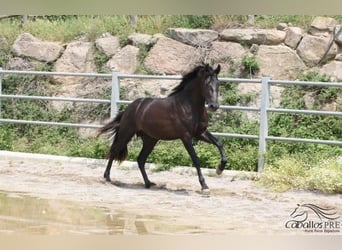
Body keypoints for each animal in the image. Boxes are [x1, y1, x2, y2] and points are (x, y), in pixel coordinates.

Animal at [98, 63, 227, 190]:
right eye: (206, 83)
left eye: (218, 83)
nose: (214, 106)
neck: (189, 106)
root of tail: (130, 107)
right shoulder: (186, 136)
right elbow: (195, 159)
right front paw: (204, 185)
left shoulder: (200, 133)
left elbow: (219, 143)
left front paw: (219, 169)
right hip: (126, 133)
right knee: (114, 151)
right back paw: (107, 177)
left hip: (150, 140)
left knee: (140, 159)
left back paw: (148, 183)